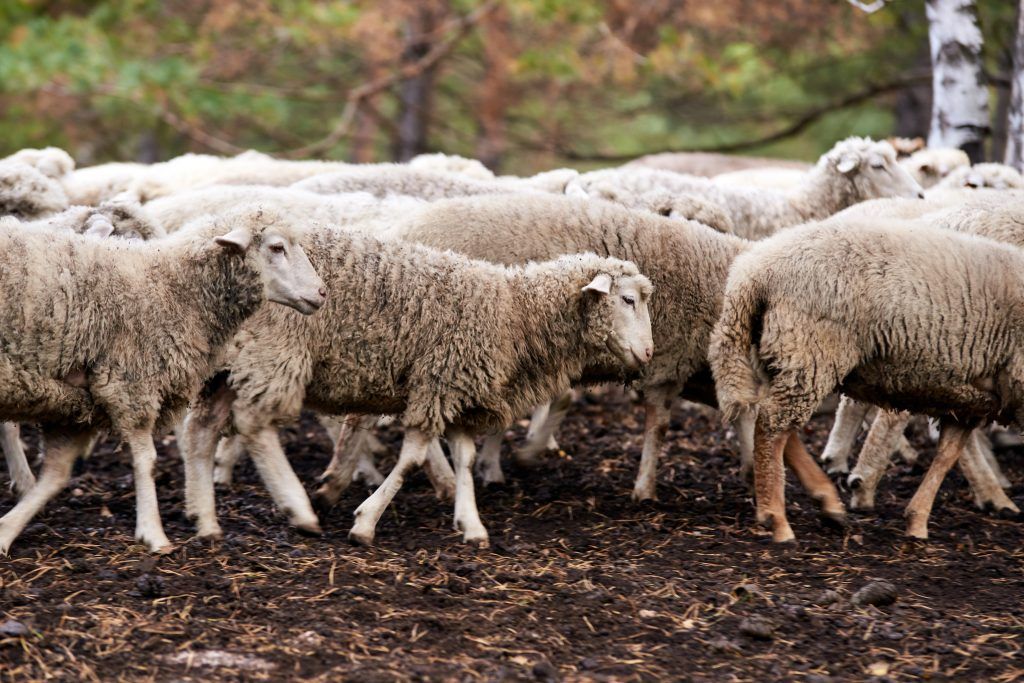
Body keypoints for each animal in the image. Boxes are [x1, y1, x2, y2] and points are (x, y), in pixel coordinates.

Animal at [0, 208, 323, 557]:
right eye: (277, 248)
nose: (322, 292)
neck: (172, 287)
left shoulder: (76, 400)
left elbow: (56, 474)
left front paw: (6, 531)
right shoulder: (130, 385)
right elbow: (148, 462)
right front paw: (153, 533)